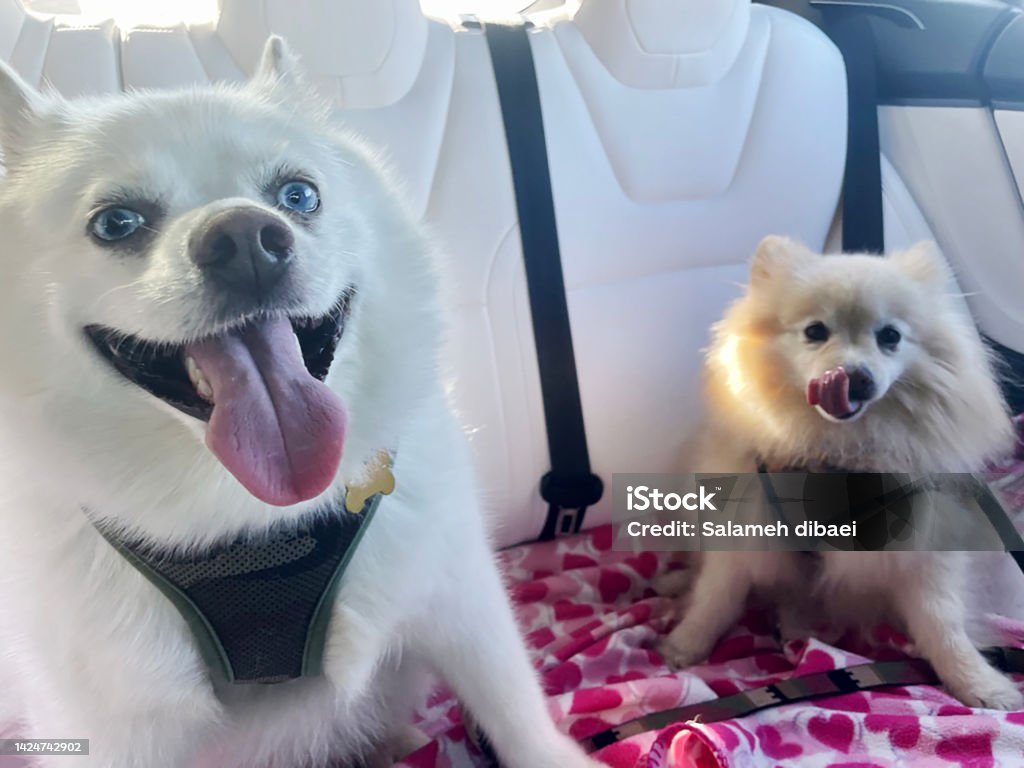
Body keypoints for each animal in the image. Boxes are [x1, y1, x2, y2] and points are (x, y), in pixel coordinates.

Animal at [0, 36, 598, 768]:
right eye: (116, 222)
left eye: (298, 194)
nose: (246, 240)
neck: (250, 518)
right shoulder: (112, 720)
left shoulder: (456, 598)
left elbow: (514, 709)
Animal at [655, 237, 1024, 712]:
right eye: (815, 331)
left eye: (890, 337)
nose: (853, 377)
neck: (834, 451)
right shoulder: (746, 527)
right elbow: (716, 595)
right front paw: (688, 642)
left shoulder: (923, 549)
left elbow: (942, 622)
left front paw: (978, 682)